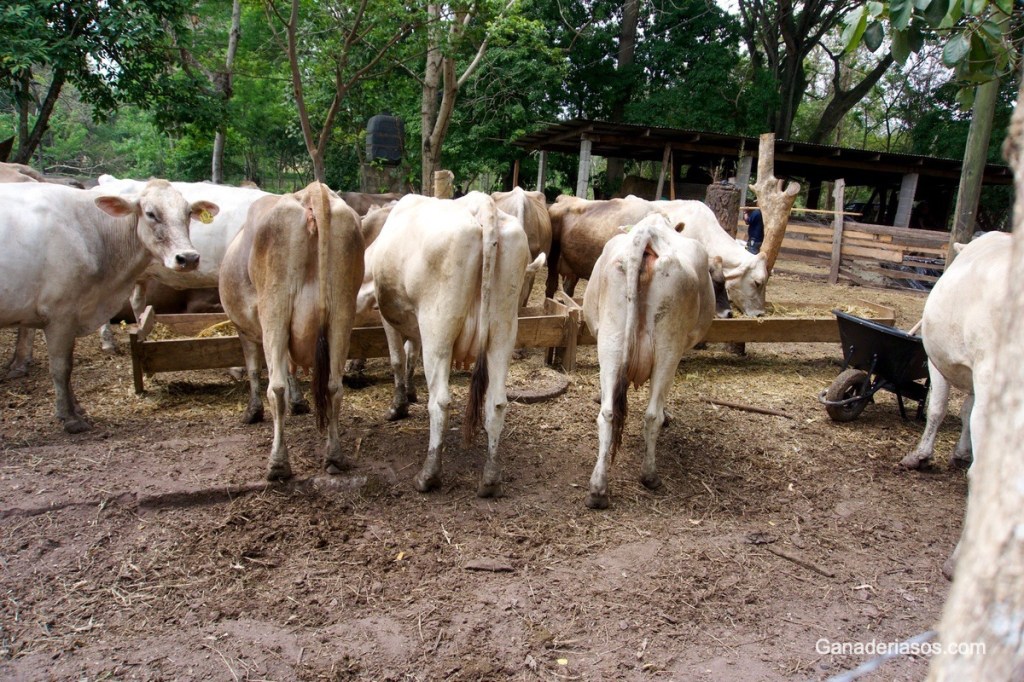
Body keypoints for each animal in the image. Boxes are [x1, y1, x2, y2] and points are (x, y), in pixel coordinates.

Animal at [0, 180, 213, 432]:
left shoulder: (67, 315)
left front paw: (75, 408)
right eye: (150, 213)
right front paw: (70, 417)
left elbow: (67, 366)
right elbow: (61, 367)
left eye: (188, 213)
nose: (188, 258)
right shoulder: (60, 314)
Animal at [219, 182, 364, 480]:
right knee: (334, 386)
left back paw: (278, 464)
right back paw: (334, 457)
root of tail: (313, 191)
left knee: (275, 388)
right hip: (342, 311)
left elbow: (255, 370)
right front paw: (300, 402)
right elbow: (292, 368)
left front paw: (252, 412)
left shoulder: (245, 331)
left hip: (275, 309)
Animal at [359, 192, 540, 497]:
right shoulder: (414, 325)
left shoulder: (390, 319)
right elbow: (411, 354)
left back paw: (428, 475)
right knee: (497, 402)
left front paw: (398, 406)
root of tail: (482, 206)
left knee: (440, 402)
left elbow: (398, 359)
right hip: (503, 332)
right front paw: (410, 393)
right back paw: (490, 478)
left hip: (438, 329)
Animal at [582, 213, 715, 509]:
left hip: (610, 341)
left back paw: (598, 490)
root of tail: (647, 233)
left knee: (607, 413)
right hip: (669, 347)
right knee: (652, 414)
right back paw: (650, 475)